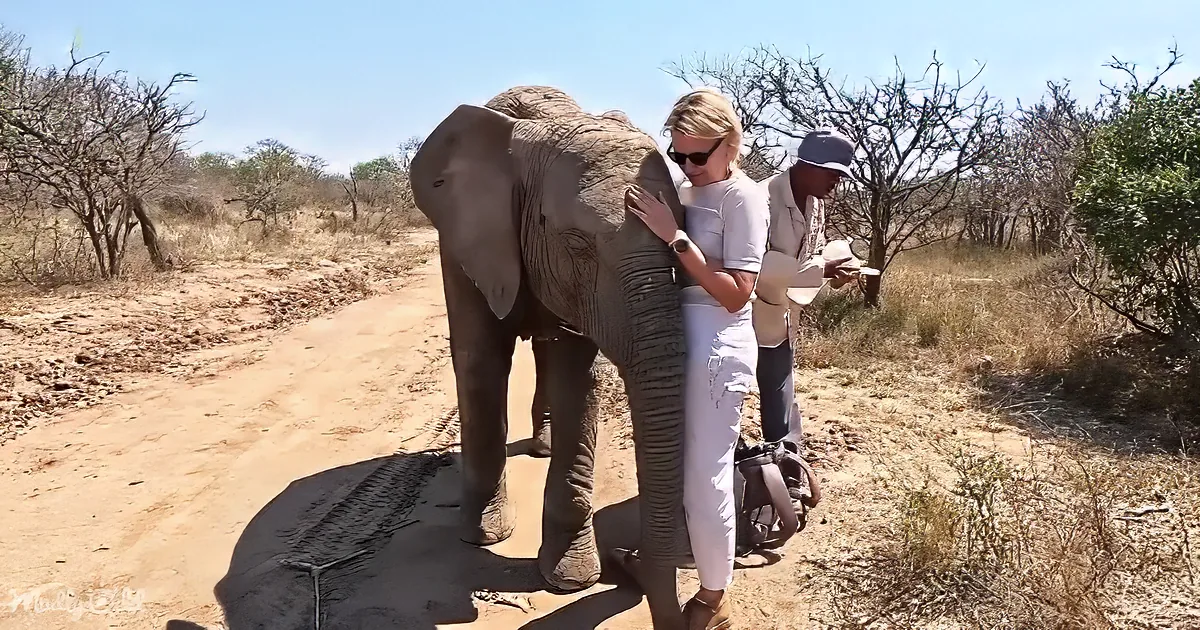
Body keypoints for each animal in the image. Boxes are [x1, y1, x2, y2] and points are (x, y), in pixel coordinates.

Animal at [409, 85, 690, 629]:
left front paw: (569, 580)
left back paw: (541, 446)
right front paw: (484, 536)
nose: (627, 562)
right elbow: (480, 362)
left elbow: (577, 377)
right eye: (577, 244)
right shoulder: (465, 237)